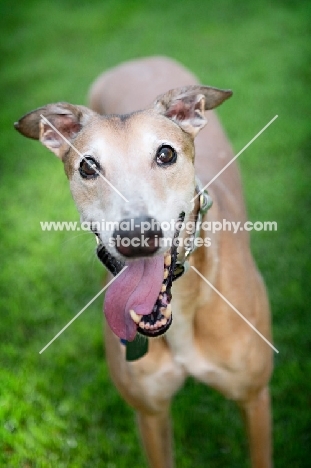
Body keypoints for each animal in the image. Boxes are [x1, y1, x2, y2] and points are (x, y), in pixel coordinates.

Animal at [15, 56, 272, 466]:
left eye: (166, 154)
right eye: (88, 167)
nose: (136, 237)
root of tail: (138, 60)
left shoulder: (254, 398)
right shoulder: (150, 414)